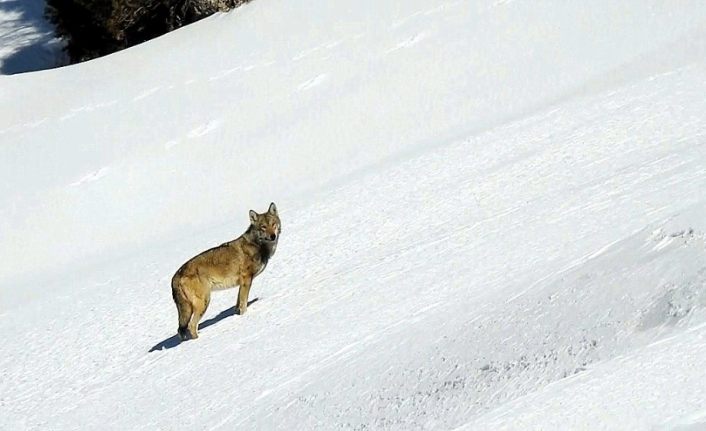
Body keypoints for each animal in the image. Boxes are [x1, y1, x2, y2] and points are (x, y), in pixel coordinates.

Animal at [171, 202, 280, 340]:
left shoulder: (242, 284)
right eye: (263, 227)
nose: (273, 236)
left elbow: (238, 305)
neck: (258, 245)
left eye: (273, 224)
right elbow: (243, 304)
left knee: (180, 330)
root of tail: (176, 276)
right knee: (191, 326)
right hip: (204, 302)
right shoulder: (246, 280)